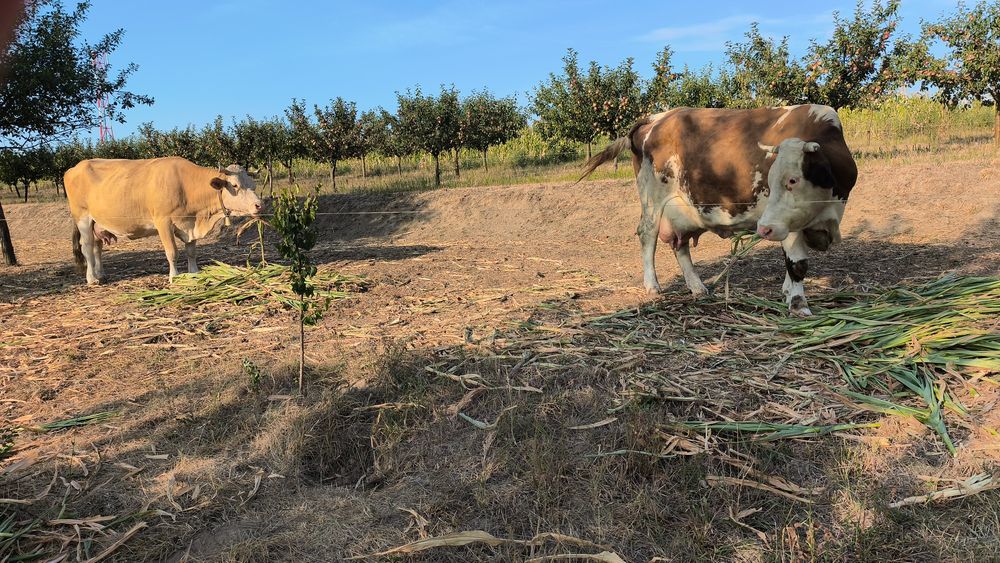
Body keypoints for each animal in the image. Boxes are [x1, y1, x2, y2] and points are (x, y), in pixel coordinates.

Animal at [64, 156, 262, 284]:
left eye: (253, 185)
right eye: (235, 185)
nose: (259, 205)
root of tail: (74, 168)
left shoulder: (189, 224)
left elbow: (191, 251)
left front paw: (194, 273)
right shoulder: (163, 222)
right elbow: (172, 252)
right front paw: (174, 277)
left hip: (97, 222)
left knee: (97, 248)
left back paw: (101, 274)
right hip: (82, 218)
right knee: (87, 248)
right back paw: (92, 278)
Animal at [580, 104, 858, 316]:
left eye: (792, 180)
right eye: (770, 178)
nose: (763, 228)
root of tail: (658, 117)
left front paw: (788, 292)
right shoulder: (785, 224)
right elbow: (797, 264)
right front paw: (798, 304)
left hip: (682, 209)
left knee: (679, 245)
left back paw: (697, 286)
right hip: (652, 199)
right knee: (647, 236)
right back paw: (652, 285)